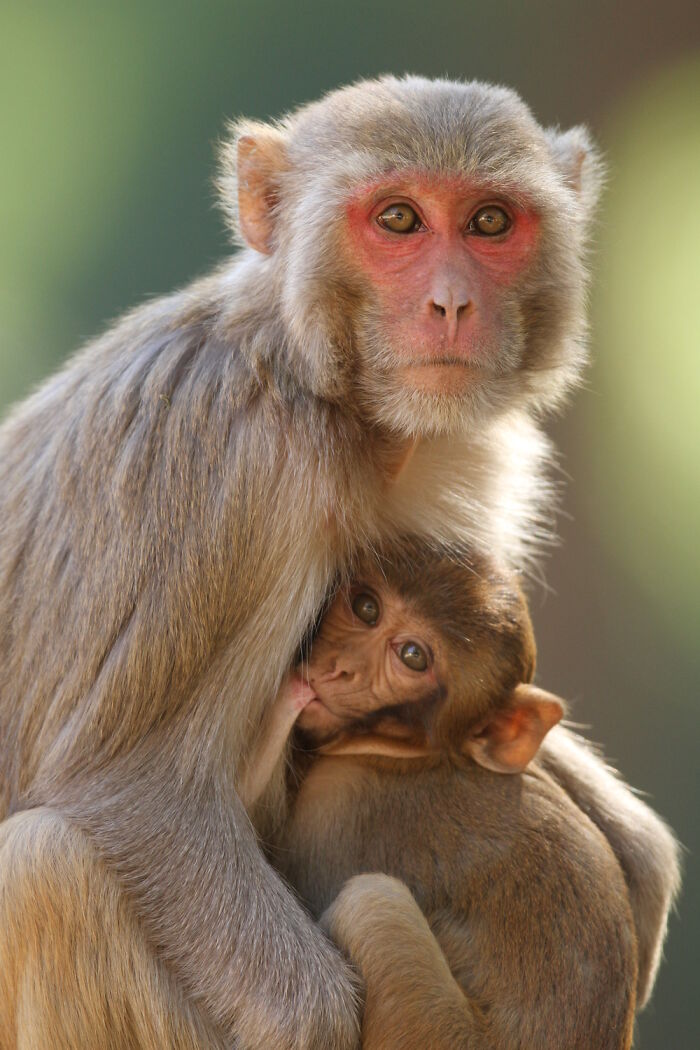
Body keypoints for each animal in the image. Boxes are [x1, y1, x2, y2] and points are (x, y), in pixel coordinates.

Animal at [243, 540, 648, 1048]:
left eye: (413, 656)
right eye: (366, 608)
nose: (339, 669)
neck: (419, 755)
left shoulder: (340, 805)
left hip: (431, 1026)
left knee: (374, 903)